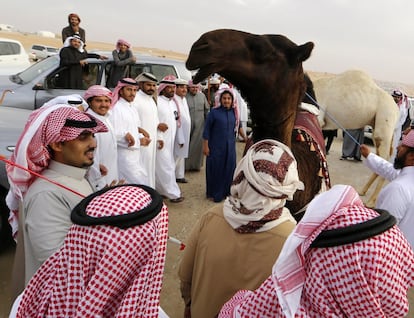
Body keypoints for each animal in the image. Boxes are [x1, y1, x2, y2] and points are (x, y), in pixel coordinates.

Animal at [312, 69, 400, 206]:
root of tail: (396, 108)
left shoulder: (318, 117)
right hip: (376, 124)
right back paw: (363, 191)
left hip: (385, 118)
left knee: (384, 156)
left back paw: (371, 202)